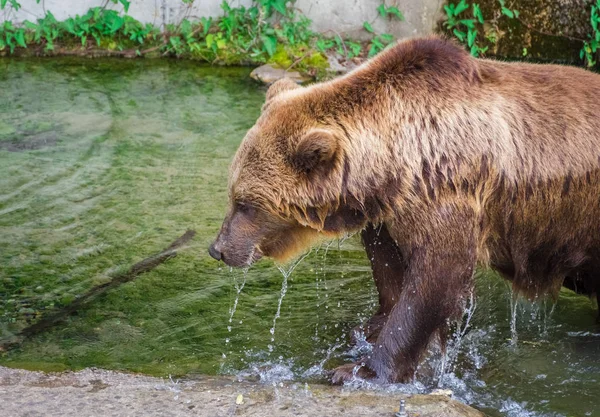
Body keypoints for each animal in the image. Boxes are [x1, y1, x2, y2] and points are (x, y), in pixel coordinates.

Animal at [210, 35, 600, 384]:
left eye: (246, 204)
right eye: (233, 195)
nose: (218, 249)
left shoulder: (447, 188)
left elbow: (435, 281)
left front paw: (359, 371)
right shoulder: (390, 214)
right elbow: (389, 267)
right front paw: (366, 329)